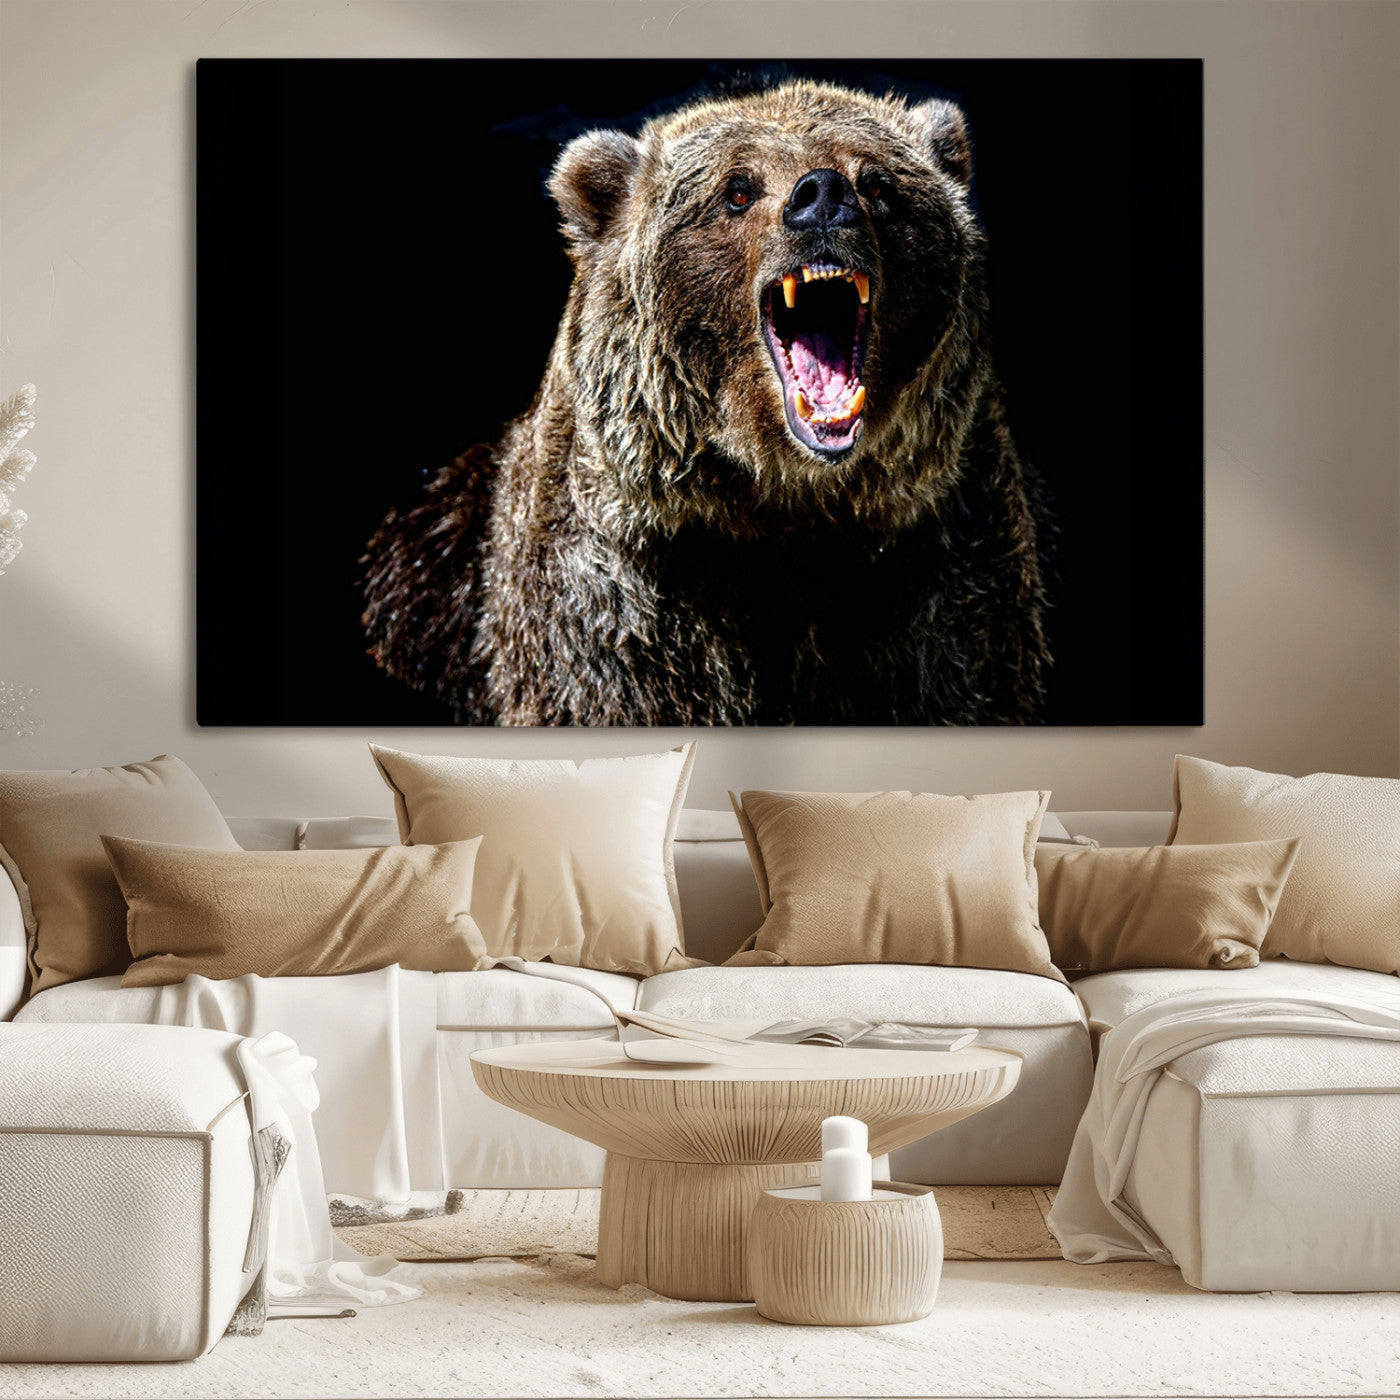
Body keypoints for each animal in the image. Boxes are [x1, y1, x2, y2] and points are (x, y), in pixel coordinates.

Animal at [362, 78, 1051, 725]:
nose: (823, 196)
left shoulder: (936, 573)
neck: (782, 508)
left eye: (877, 182)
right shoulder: (624, 601)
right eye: (737, 190)